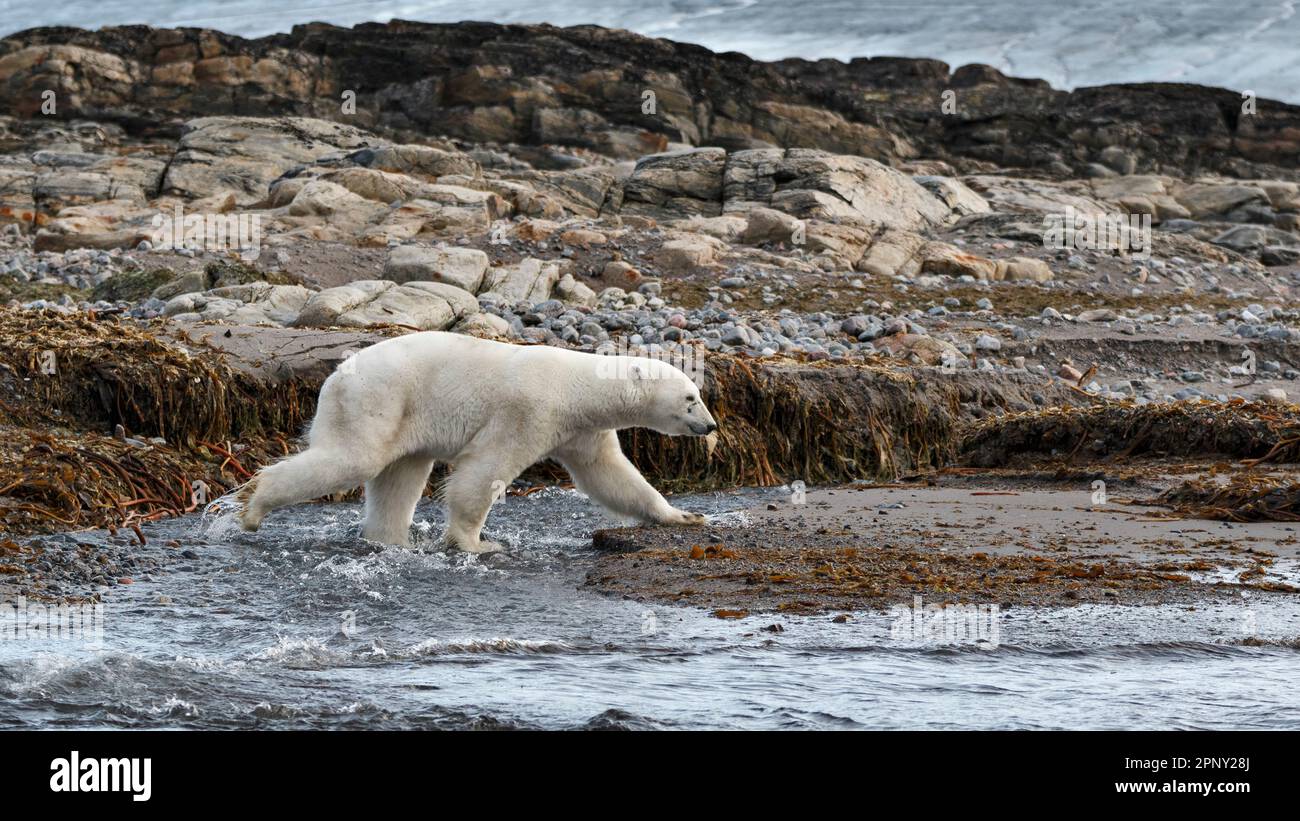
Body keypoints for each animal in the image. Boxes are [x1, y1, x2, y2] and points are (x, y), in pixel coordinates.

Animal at [236, 332, 722, 550]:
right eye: (691, 397)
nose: (712, 426)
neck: (578, 386)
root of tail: (335, 375)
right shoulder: (530, 410)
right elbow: (485, 469)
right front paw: (477, 544)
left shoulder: (581, 430)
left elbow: (611, 477)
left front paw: (684, 516)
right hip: (378, 400)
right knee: (355, 459)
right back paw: (252, 507)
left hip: (404, 416)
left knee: (399, 477)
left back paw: (392, 542)